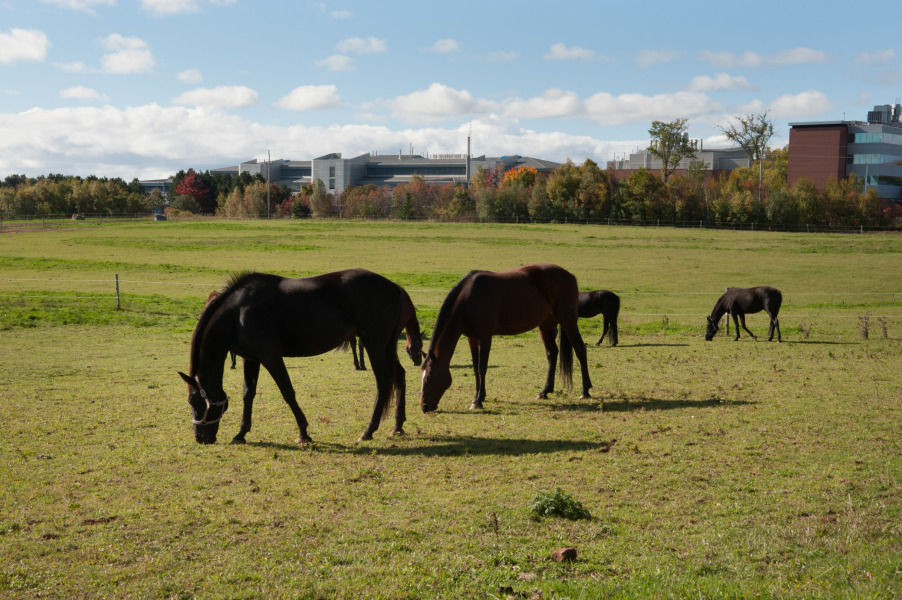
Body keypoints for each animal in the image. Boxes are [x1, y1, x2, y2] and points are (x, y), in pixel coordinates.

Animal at [177, 270, 416, 442]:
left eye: (194, 401)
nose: (200, 438)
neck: (238, 313)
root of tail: (395, 288)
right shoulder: (251, 359)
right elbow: (248, 394)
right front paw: (241, 433)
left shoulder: (271, 357)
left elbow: (288, 393)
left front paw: (303, 432)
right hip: (387, 347)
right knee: (399, 377)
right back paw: (398, 425)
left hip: (375, 345)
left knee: (383, 382)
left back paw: (369, 430)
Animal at [422, 264, 596, 414]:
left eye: (429, 377)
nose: (424, 407)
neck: (468, 298)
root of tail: (570, 276)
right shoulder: (472, 338)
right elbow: (475, 368)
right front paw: (477, 397)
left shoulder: (485, 337)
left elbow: (482, 367)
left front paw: (478, 401)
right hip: (546, 324)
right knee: (552, 354)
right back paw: (545, 391)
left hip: (567, 320)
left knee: (580, 349)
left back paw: (585, 391)